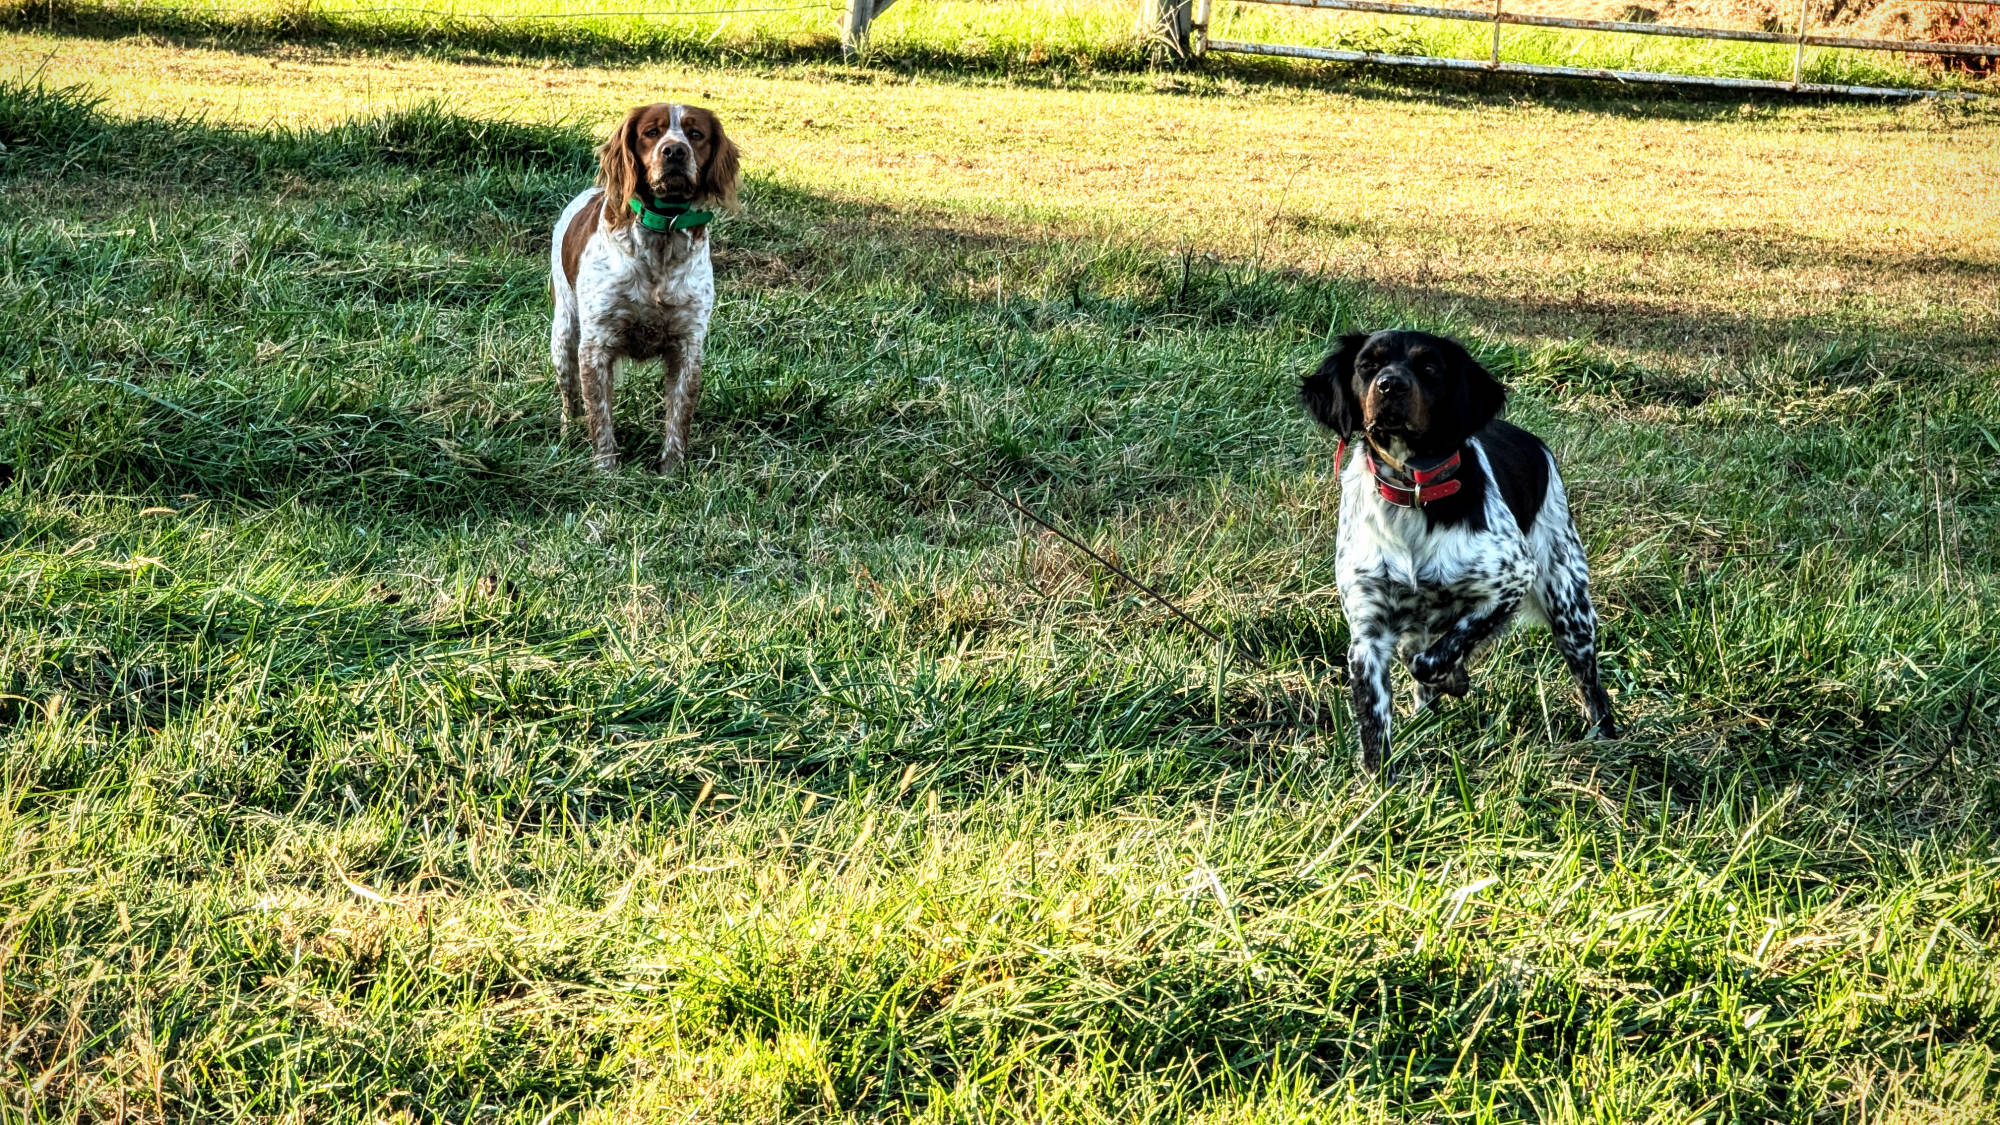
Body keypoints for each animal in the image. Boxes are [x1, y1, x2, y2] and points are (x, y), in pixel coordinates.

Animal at [551, 103, 740, 471]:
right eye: (651, 132)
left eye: (696, 134)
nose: (675, 151)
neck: (661, 238)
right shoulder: (595, 345)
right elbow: (600, 419)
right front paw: (606, 472)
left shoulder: (688, 346)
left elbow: (678, 420)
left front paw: (671, 473)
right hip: (564, 334)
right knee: (570, 401)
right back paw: (566, 438)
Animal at [1301, 329, 1616, 776]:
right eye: (1368, 365)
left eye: (1429, 367)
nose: (1391, 385)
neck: (1413, 492)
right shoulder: (1368, 634)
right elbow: (1376, 723)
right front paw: (1381, 786)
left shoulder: (1511, 580)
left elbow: (1441, 653)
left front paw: (1453, 677)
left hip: (1569, 607)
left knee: (1591, 686)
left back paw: (1606, 738)